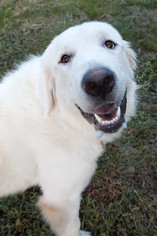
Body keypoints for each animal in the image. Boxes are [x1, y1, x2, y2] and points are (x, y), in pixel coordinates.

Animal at [0, 21, 137, 235]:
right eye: (64, 58)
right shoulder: (61, 200)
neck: (62, 120)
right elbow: (73, 226)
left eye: (109, 44)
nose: (99, 82)